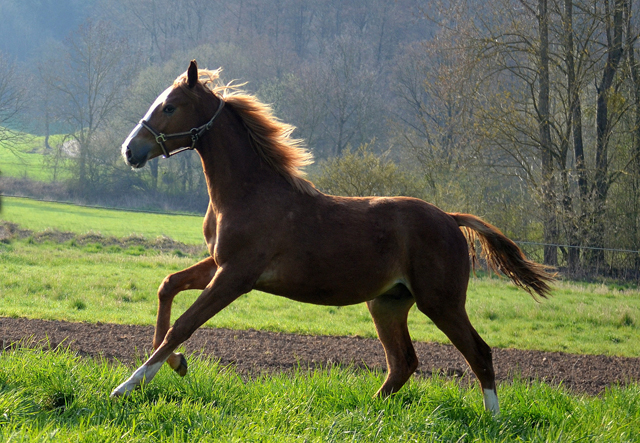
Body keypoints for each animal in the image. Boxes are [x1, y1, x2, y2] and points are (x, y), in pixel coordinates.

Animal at [112, 60, 552, 414]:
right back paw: (367, 411)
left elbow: (183, 324)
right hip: (388, 303)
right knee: (403, 362)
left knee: (479, 353)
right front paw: (177, 363)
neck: (249, 192)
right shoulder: (220, 264)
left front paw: (126, 386)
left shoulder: (236, 276)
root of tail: (450, 218)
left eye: (170, 107)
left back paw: (493, 419)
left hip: (441, 302)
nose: (130, 151)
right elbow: (168, 286)